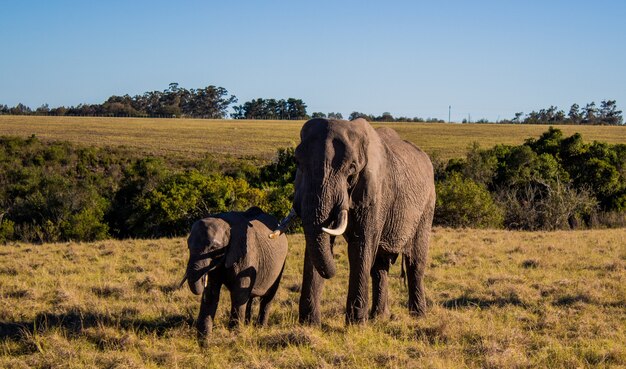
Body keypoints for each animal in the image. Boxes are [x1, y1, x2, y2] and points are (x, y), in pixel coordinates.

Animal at [180, 206, 288, 340]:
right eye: (188, 246)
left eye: (213, 248)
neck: (225, 223)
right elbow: (212, 293)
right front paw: (204, 339)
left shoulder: (246, 254)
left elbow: (238, 294)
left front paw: (234, 335)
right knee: (249, 297)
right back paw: (247, 325)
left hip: (281, 264)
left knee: (268, 296)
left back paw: (260, 328)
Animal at [270, 117, 434, 322]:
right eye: (297, 162)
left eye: (352, 169)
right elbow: (318, 243)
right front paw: (309, 323)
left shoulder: (375, 191)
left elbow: (361, 245)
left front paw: (356, 324)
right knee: (379, 266)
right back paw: (379, 317)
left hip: (427, 206)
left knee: (414, 262)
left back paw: (418, 316)